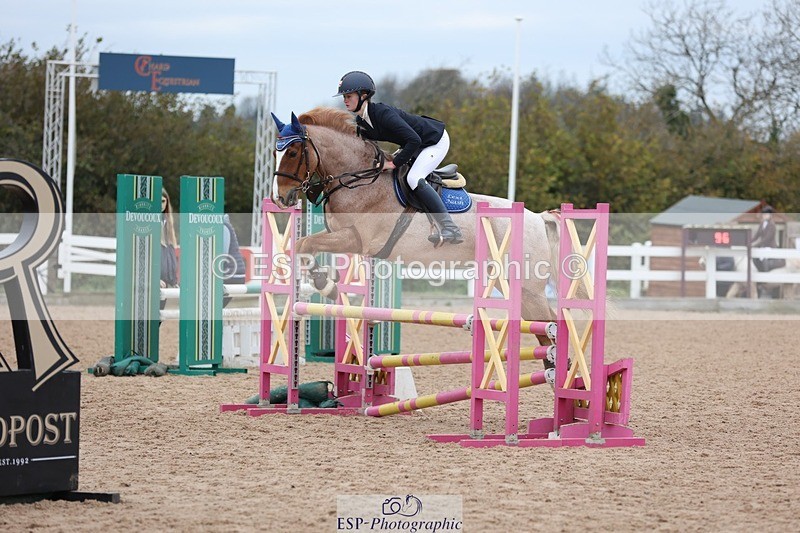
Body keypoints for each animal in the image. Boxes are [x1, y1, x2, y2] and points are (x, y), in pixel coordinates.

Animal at [270, 107, 562, 349]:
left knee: (550, 324)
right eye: (275, 152)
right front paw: (325, 283)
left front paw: (326, 285)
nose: (280, 198)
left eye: (293, 153)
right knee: (544, 328)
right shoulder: (338, 234)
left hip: (527, 287)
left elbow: (307, 244)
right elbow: (302, 245)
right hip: (509, 284)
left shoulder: (357, 239)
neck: (358, 179)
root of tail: (538, 218)